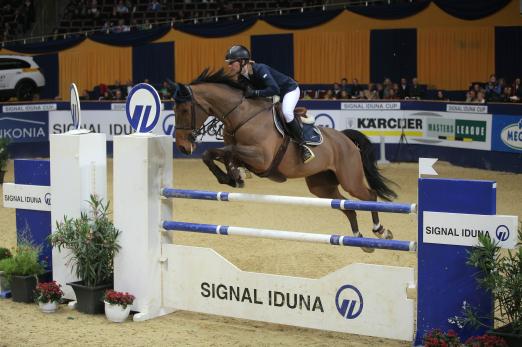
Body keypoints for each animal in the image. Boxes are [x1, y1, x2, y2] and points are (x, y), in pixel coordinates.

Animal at [173, 68, 396, 253]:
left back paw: (381, 231)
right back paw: (360, 239)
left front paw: (233, 175)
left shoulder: (262, 158)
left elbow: (227, 151)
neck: (241, 116)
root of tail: (345, 138)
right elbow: (214, 154)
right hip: (321, 186)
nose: (183, 147)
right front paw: (233, 176)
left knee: (370, 196)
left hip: (350, 179)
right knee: (346, 205)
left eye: (184, 110)